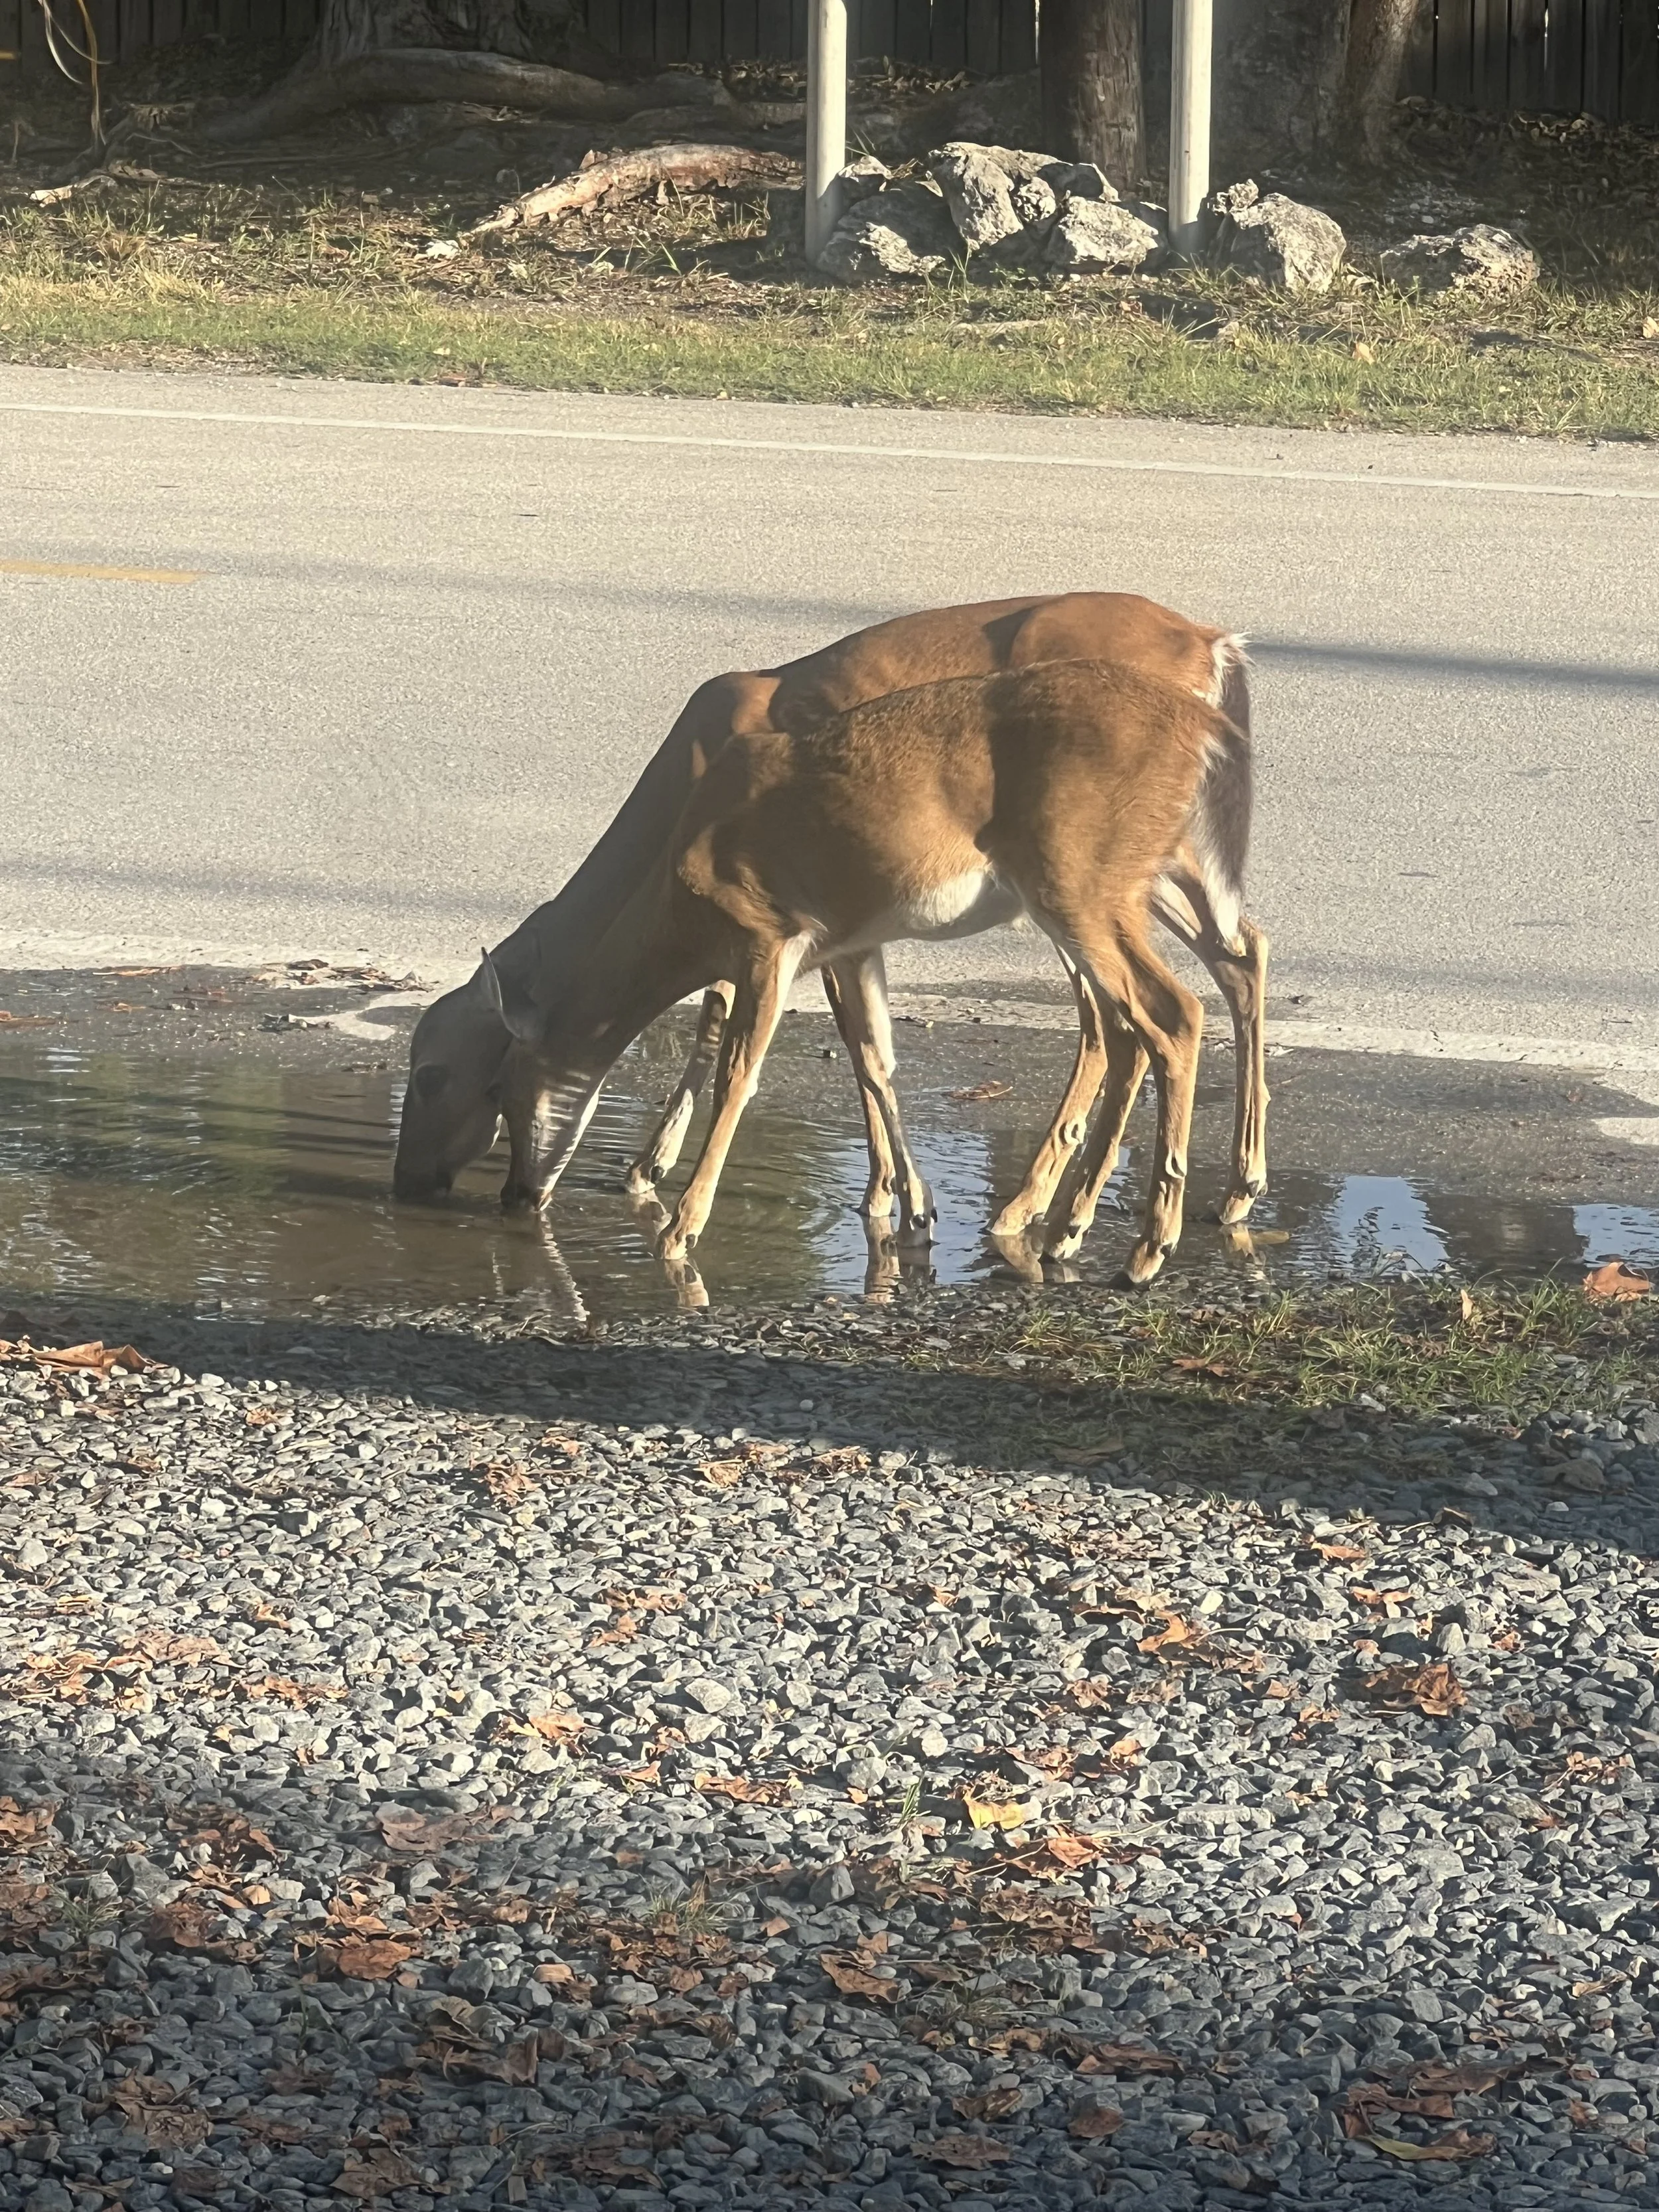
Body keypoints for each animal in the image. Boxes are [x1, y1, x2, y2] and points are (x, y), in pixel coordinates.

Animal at [392, 592, 1269, 1252]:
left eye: (444, 1074)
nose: (411, 1180)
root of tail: (1214, 647)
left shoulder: (776, 930)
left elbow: (726, 1036)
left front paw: (659, 1178)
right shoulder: (846, 935)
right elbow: (869, 1054)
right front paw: (900, 1196)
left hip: (1077, 883)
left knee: (1134, 1016)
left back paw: (1068, 1219)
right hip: (1157, 863)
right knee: (1235, 953)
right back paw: (1214, 1194)